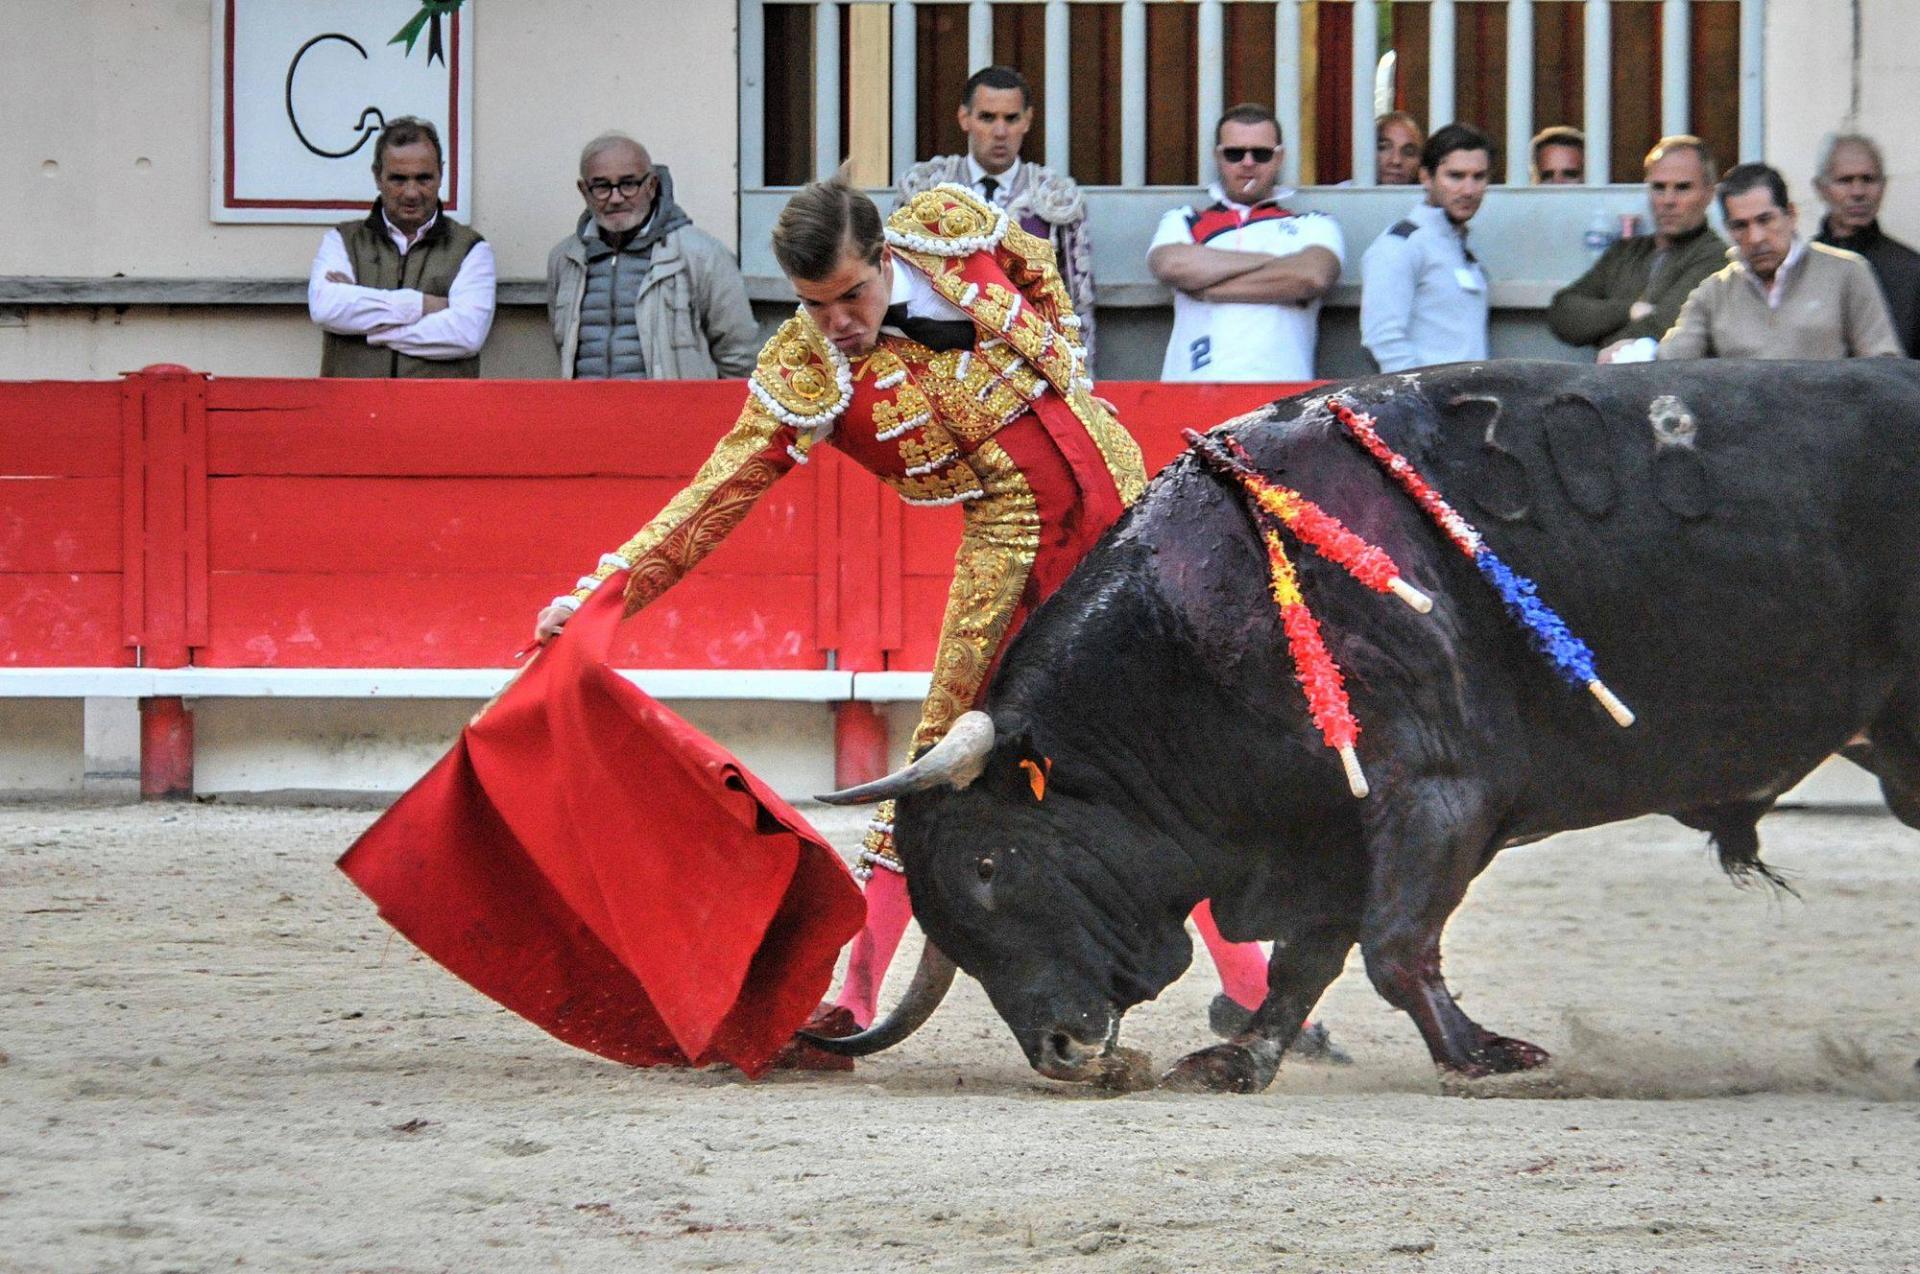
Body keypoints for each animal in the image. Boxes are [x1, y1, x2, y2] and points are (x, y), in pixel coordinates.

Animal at [814, 360, 1920, 1097]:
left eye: (988, 864)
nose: (1062, 1052)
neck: (1209, 606)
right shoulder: (1335, 825)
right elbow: (1311, 957)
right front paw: (1238, 1057)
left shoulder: (1434, 789)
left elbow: (1392, 946)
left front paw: (1488, 1056)